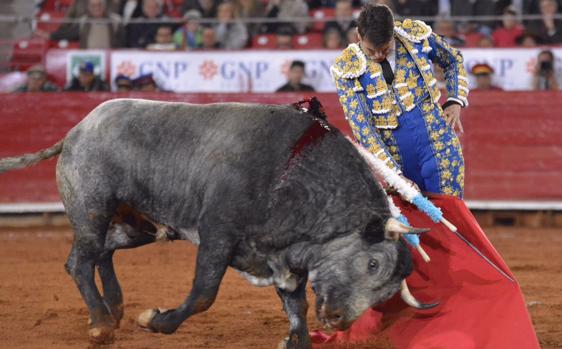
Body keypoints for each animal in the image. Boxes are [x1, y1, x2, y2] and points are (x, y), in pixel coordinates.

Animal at [0, 98, 434, 348]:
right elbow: (204, 293)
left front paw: (297, 340)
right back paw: (102, 324)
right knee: (80, 261)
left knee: (102, 252)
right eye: (372, 263)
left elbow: (296, 306)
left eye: (386, 293)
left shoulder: (284, 258)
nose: (339, 318)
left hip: (138, 225)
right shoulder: (218, 235)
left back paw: (116, 308)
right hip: (91, 208)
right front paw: (157, 321)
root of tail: (76, 130)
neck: (296, 174)